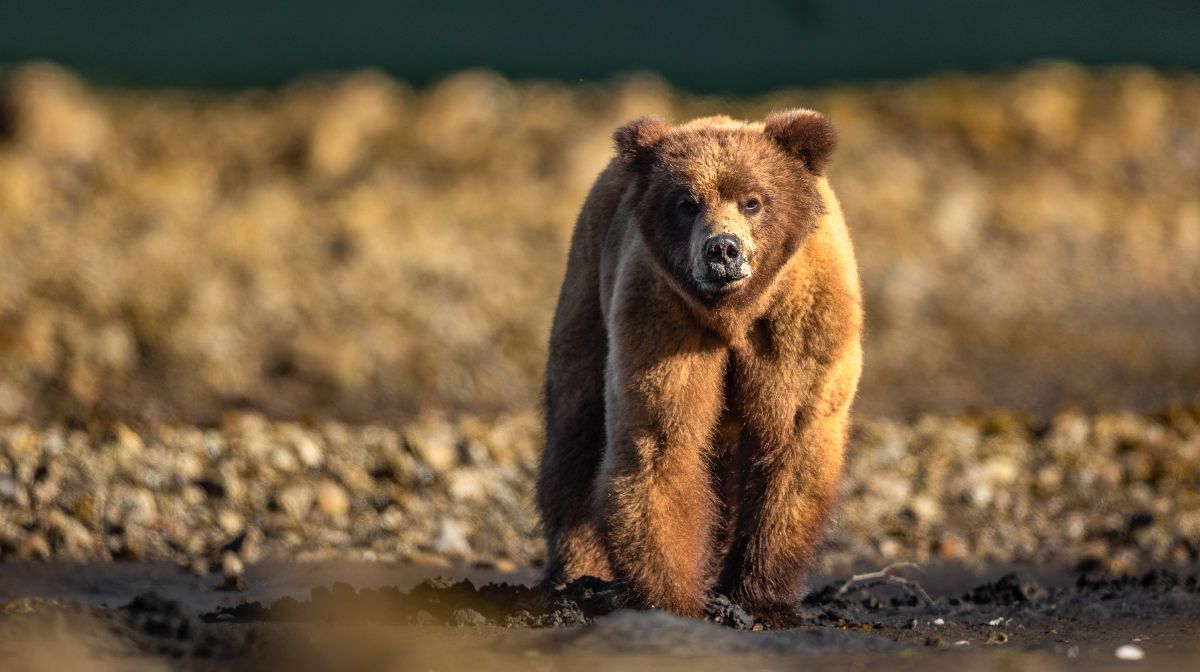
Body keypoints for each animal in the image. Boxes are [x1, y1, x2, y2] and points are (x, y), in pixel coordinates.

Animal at [537, 110, 864, 619]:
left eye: (753, 200)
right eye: (687, 203)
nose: (723, 249)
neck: (734, 313)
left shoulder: (798, 322)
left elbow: (791, 441)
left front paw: (760, 596)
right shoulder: (664, 319)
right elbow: (661, 441)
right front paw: (670, 597)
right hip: (587, 293)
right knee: (577, 426)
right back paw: (573, 572)